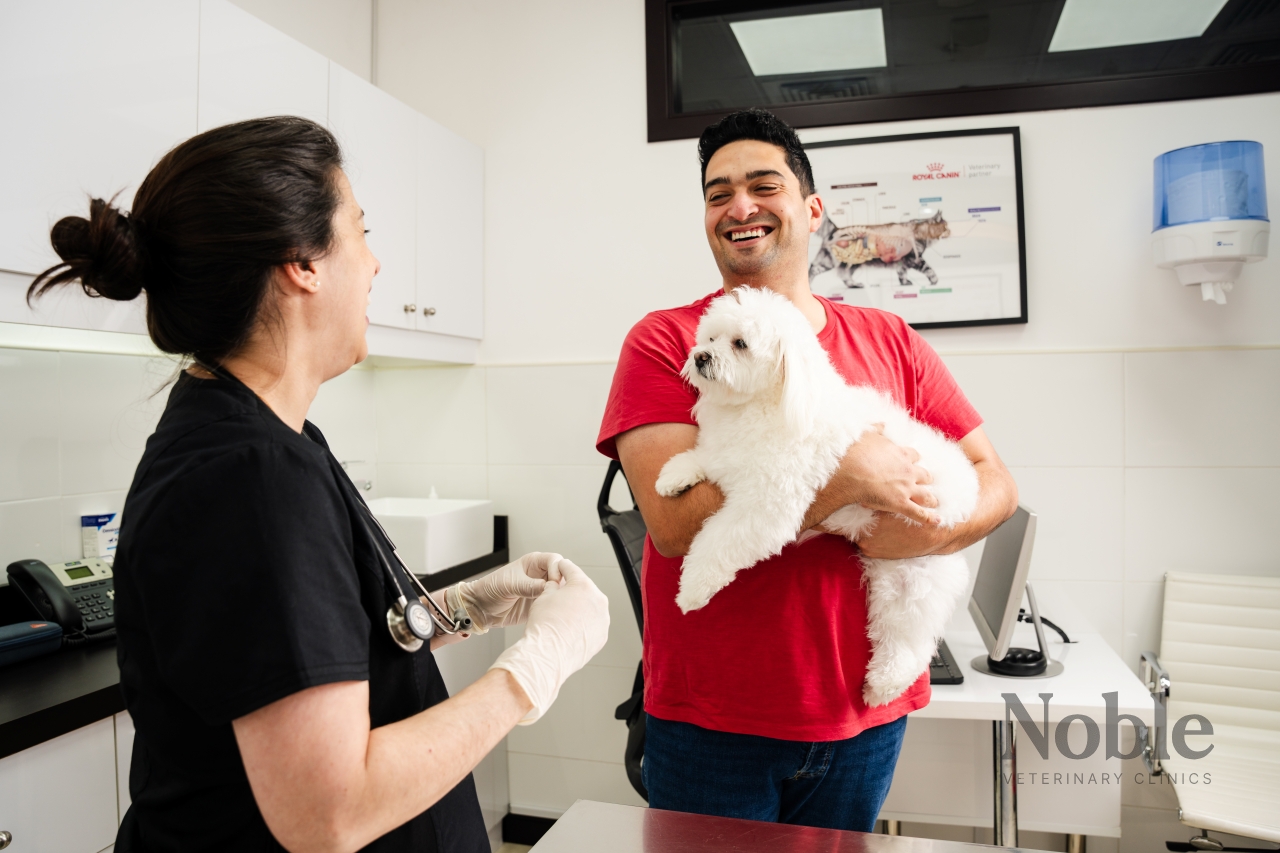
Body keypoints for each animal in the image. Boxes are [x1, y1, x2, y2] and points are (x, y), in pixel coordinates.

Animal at [660, 285, 977, 701]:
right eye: (710, 338)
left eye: (740, 344)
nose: (700, 356)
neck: (763, 404)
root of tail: (965, 497)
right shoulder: (725, 457)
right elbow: (702, 458)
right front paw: (675, 475)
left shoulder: (767, 507)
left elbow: (717, 543)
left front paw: (692, 589)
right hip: (893, 574)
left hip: (915, 576)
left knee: (912, 641)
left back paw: (885, 686)